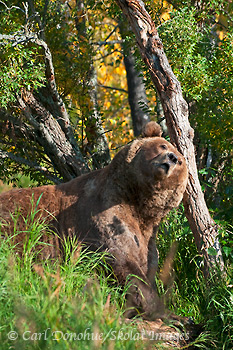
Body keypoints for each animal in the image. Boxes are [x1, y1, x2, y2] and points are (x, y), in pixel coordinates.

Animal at [0, 121, 187, 318]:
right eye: (163, 145)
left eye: (181, 162)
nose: (172, 158)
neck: (137, 201)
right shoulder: (103, 217)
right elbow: (124, 262)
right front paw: (167, 313)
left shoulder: (147, 237)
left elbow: (146, 267)